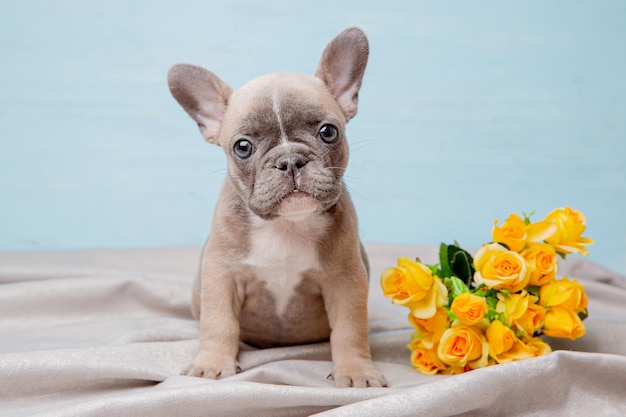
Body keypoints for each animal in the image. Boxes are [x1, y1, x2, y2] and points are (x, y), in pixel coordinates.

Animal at [167, 28, 386, 386]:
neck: (287, 225)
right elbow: (219, 323)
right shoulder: (221, 275)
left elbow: (350, 329)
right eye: (242, 147)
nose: (289, 160)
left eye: (328, 132)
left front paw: (355, 371)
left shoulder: (345, 279)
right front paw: (212, 363)